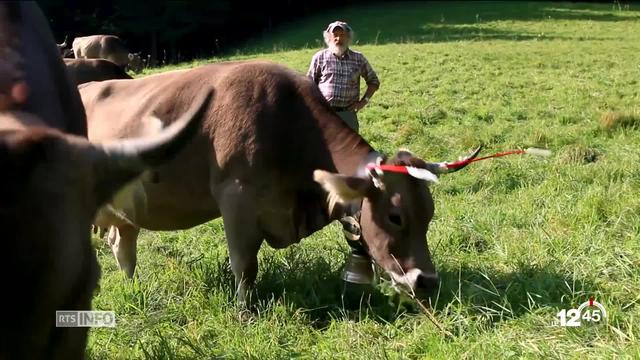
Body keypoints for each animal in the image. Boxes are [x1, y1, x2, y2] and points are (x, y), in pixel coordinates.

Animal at [81, 59, 480, 304]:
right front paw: (245, 313)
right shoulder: (237, 198)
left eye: (429, 213)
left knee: (122, 244)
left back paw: (133, 287)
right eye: (395, 217)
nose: (427, 281)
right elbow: (244, 265)